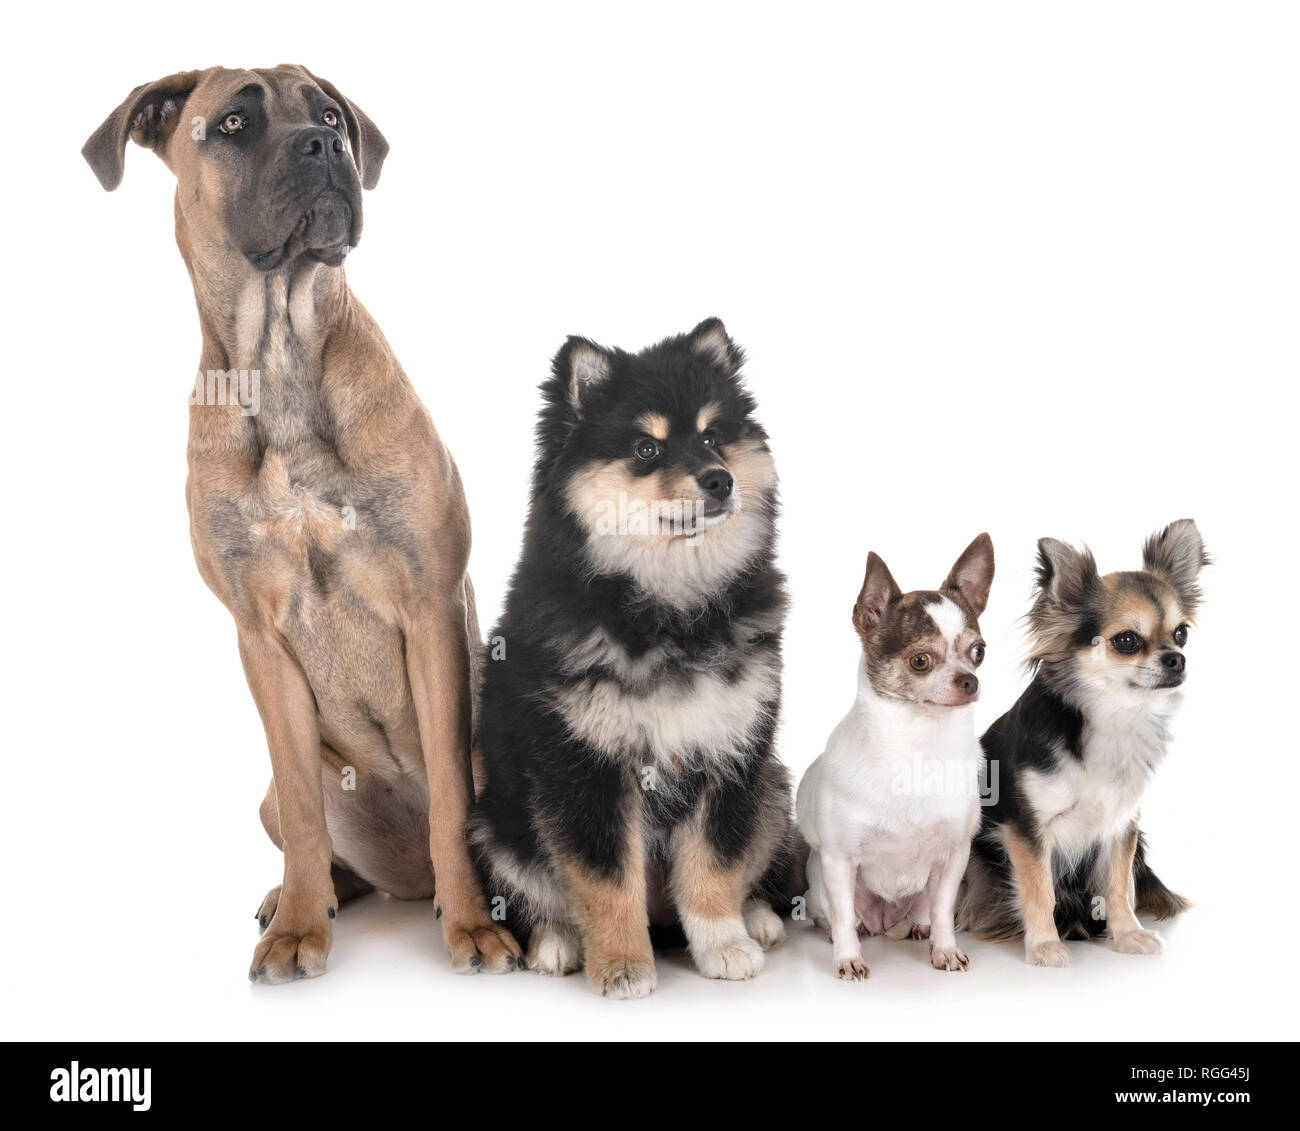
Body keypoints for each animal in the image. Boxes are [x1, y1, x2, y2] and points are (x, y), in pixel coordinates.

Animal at [82, 66, 522, 982]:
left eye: (328, 116)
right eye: (233, 123)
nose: (324, 146)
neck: (282, 355)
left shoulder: (428, 608)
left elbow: (452, 802)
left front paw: (473, 925)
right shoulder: (259, 636)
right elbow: (304, 806)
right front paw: (295, 930)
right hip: (272, 801)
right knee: (307, 839)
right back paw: (297, 897)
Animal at [470, 318, 800, 998]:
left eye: (712, 436)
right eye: (647, 450)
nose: (719, 478)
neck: (669, 607)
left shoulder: (731, 753)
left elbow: (713, 867)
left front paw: (723, 944)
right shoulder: (585, 767)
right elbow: (605, 881)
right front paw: (621, 963)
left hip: (774, 789)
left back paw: (758, 919)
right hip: (493, 823)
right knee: (543, 895)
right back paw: (557, 942)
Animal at [961, 520, 1201, 967]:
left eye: (1181, 634)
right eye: (1126, 641)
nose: (1177, 658)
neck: (1111, 718)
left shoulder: (1121, 826)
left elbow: (1118, 885)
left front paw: (1127, 935)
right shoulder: (1026, 829)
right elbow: (1038, 889)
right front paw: (1043, 945)